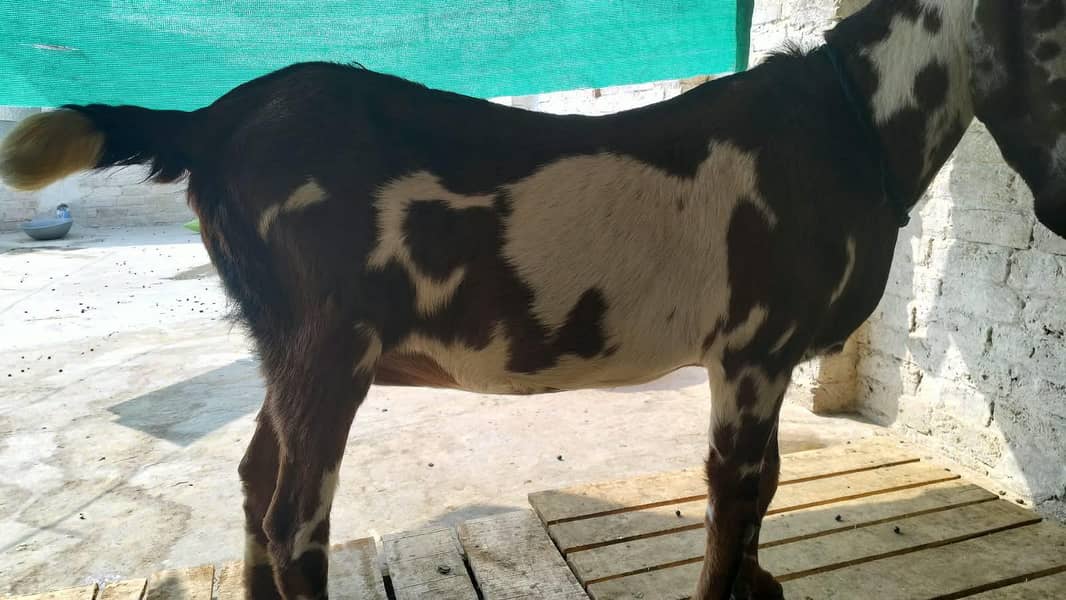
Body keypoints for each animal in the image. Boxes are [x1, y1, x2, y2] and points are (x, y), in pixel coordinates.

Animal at [3, 1, 1064, 598]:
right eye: (1055, 31)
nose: (1057, 208)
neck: (847, 121)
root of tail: (212, 121)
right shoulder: (753, 351)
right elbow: (738, 493)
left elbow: (761, 494)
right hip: (330, 347)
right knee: (295, 521)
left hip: (281, 344)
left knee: (258, 481)